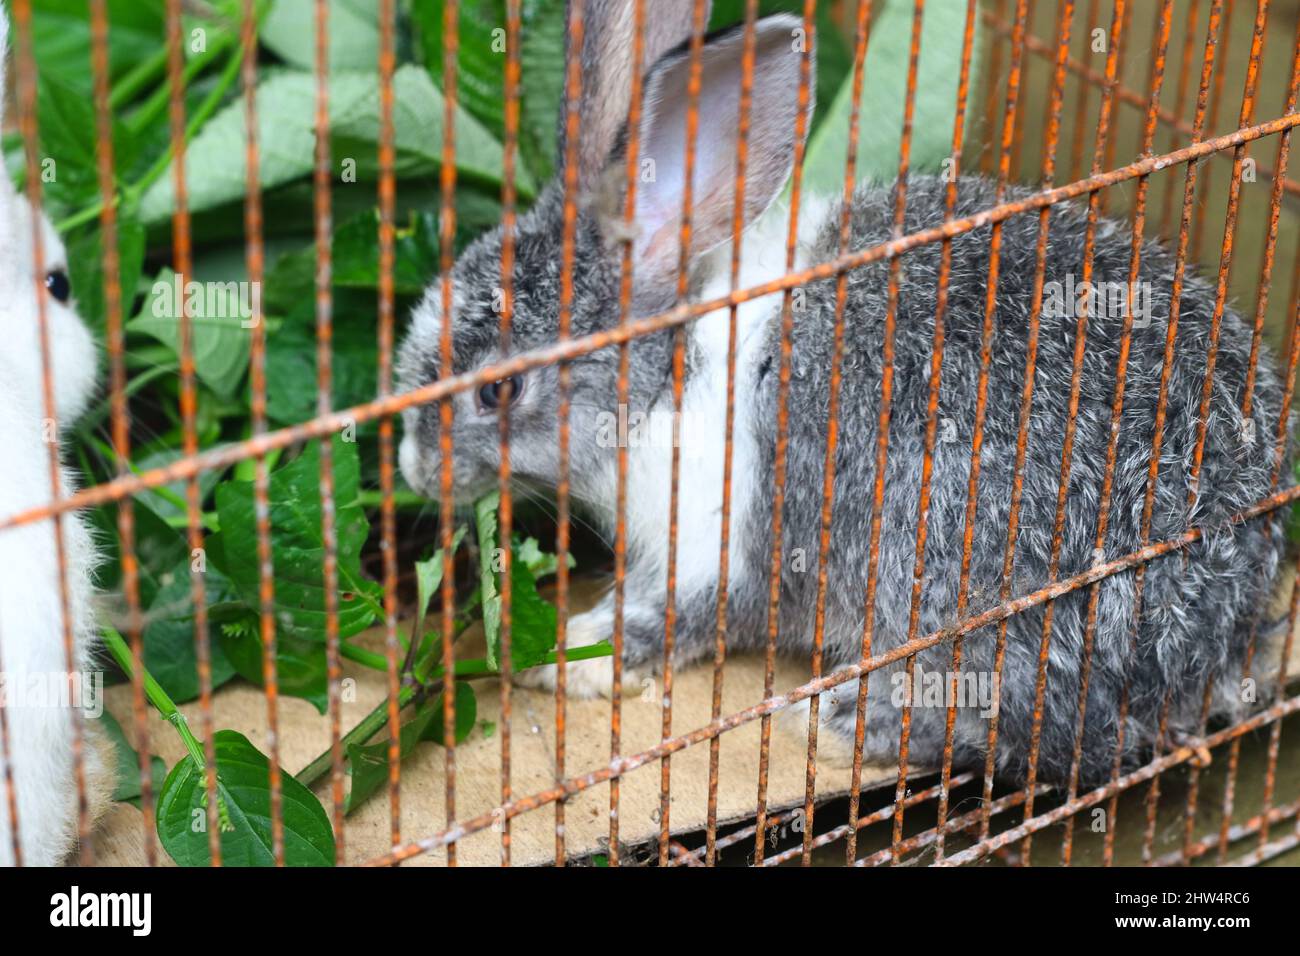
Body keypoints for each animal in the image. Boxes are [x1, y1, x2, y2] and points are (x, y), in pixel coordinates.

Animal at [397, 0, 1290, 788]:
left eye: (500, 390)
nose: (413, 470)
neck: (665, 372)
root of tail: (1224, 619)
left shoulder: (715, 544)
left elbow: (666, 622)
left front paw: (571, 657)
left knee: (1032, 731)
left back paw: (836, 721)